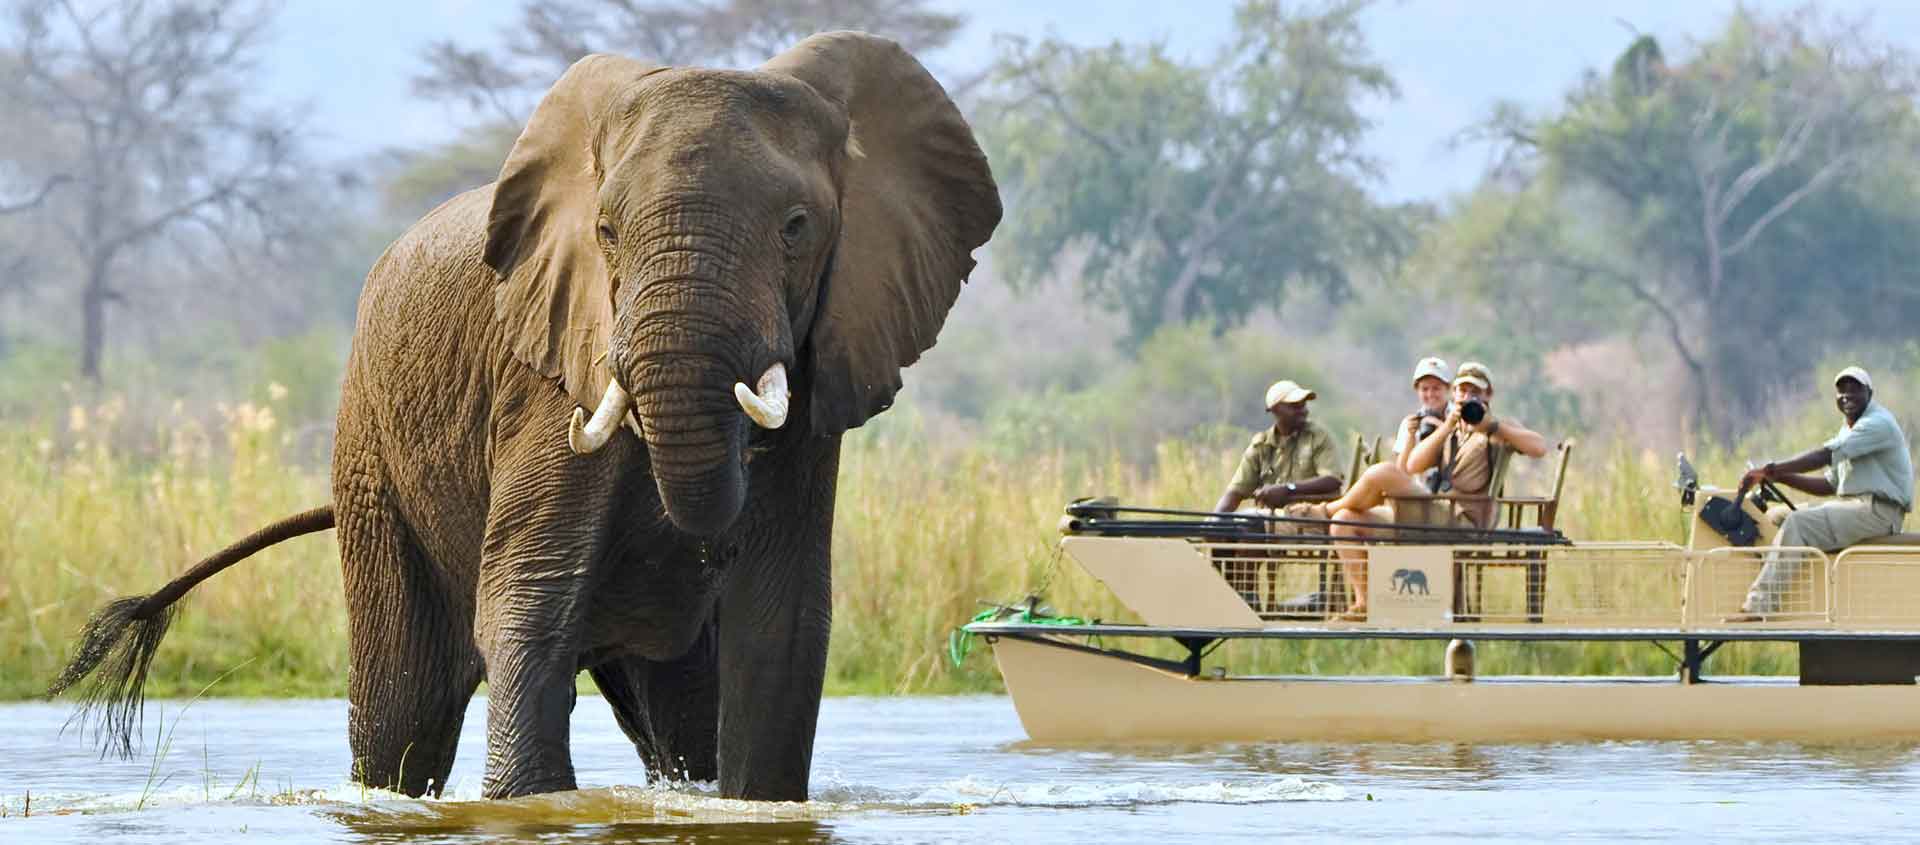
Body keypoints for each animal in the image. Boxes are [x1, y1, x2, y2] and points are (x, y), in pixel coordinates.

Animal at [46, 29, 1006, 802]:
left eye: (798, 227)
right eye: (608, 232)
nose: (704, 540)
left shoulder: (817, 388)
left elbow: (781, 620)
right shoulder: (545, 384)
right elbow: (528, 595)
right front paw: (527, 805)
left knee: (677, 714)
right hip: (370, 454)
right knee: (404, 708)